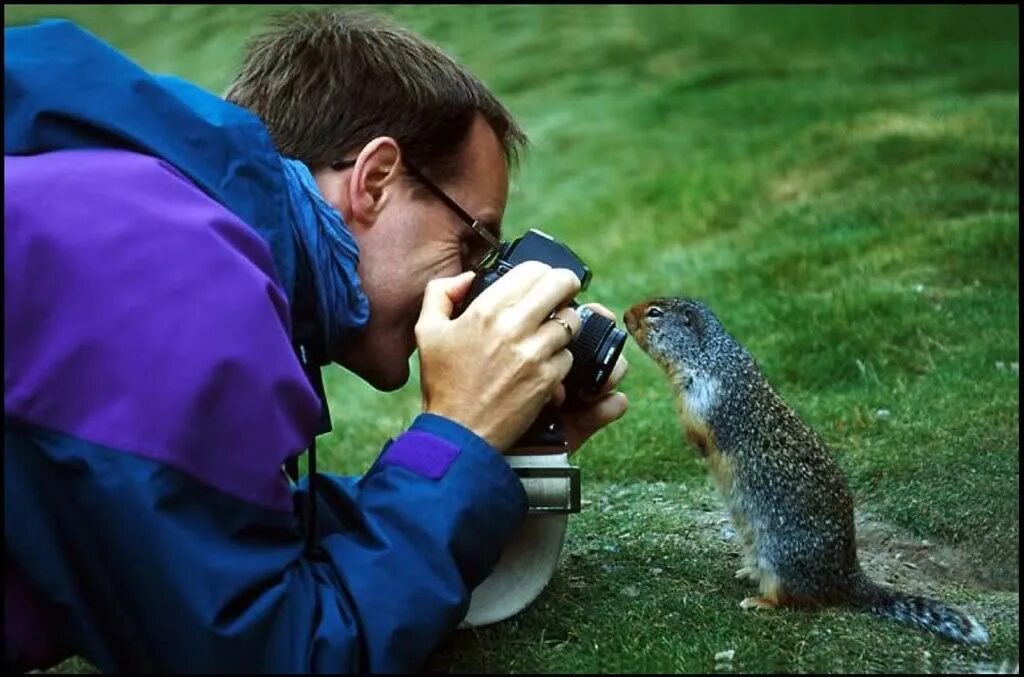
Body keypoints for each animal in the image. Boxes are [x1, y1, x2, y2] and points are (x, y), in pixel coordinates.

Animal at [618, 294, 987, 643]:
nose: (623, 315)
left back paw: (759, 601)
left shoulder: (707, 397)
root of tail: (847, 576)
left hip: (781, 560)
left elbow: (699, 429)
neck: (708, 356)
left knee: (797, 599)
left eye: (654, 312)